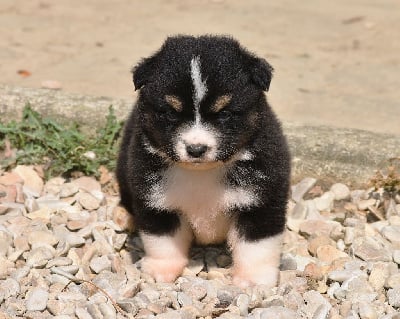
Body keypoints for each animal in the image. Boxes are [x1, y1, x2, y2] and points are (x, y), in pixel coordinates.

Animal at [116, 35, 290, 290]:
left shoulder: (261, 201)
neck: (202, 174)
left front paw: (252, 279)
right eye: (171, 113)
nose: (196, 149)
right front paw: (162, 270)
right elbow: (162, 241)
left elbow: (256, 246)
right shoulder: (156, 201)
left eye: (224, 113)